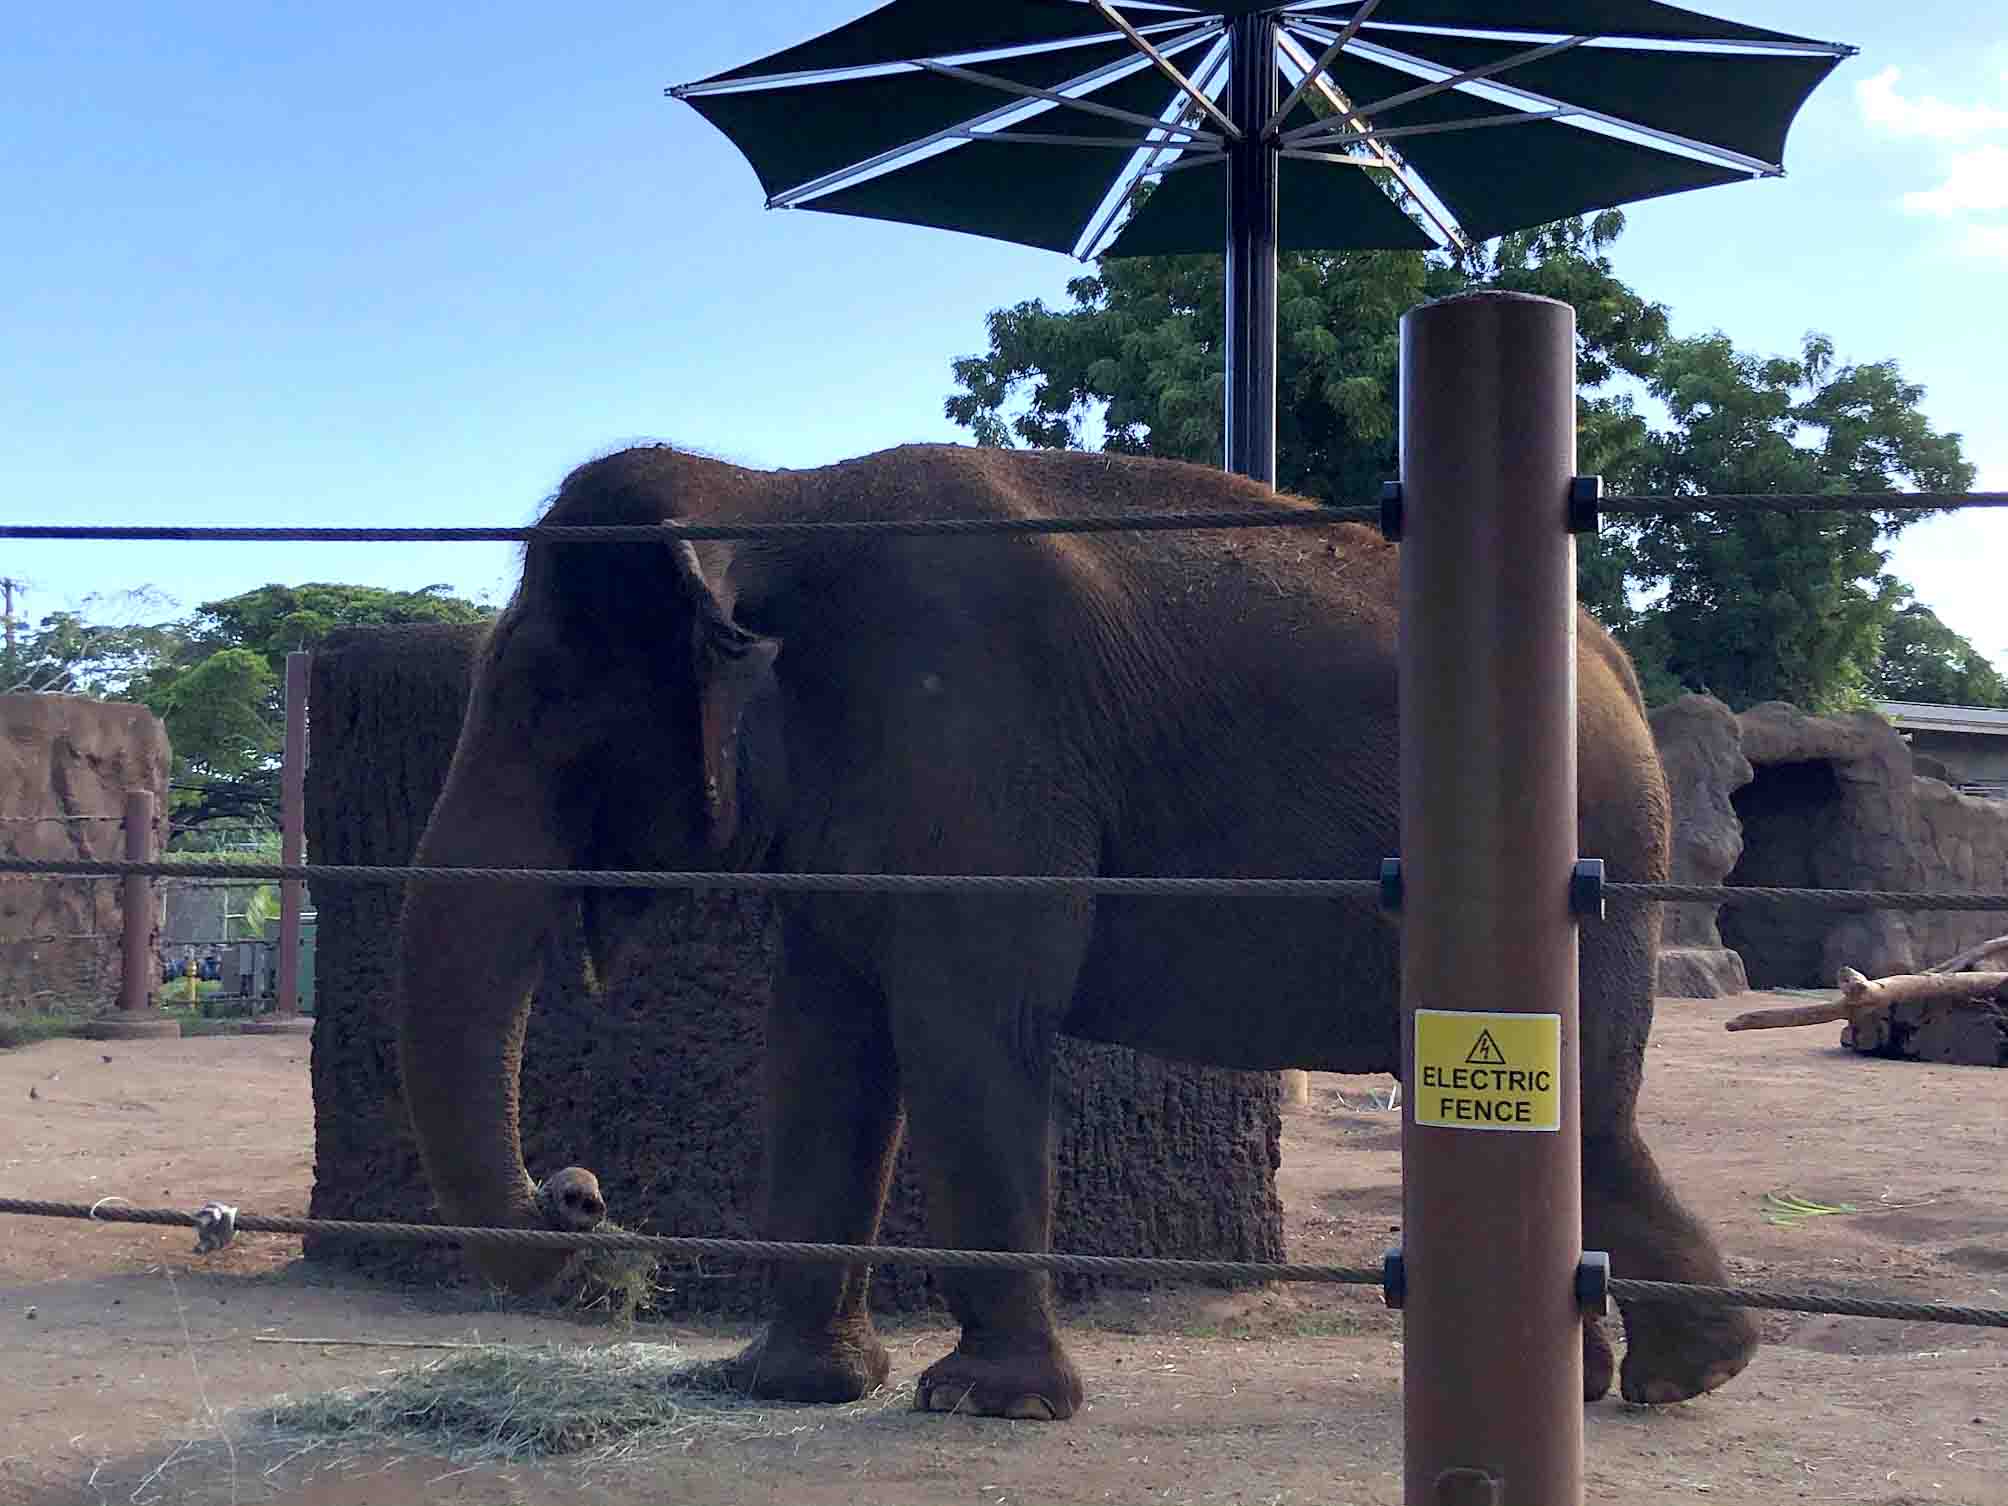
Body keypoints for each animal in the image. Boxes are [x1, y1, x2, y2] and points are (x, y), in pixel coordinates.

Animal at [391, 439, 1759, 1429]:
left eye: (551, 711)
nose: (580, 1198)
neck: (773, 493)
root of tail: (1621, 665)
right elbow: (824, 1049)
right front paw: (790, 1387)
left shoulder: (975, 738)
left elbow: (962, 1029)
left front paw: (985, 1406)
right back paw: (1636, 1381)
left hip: (1585, 862)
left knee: (1585, 1109)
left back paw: (1678, 1379)